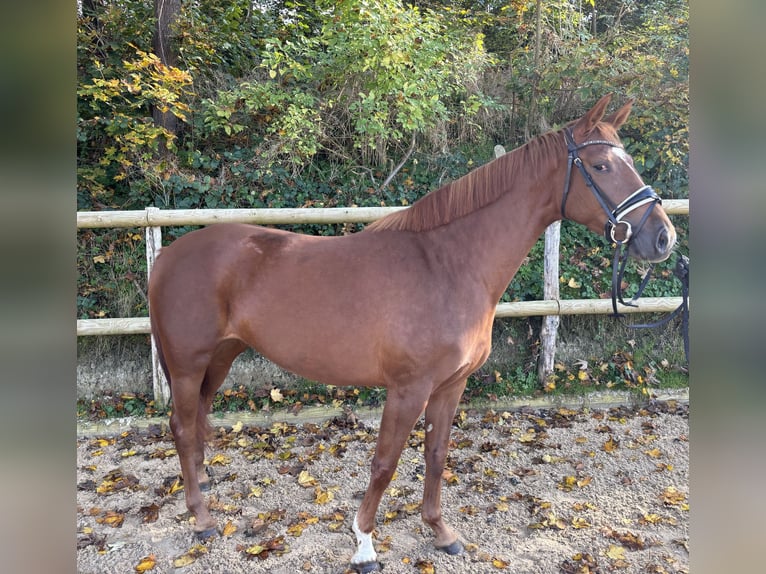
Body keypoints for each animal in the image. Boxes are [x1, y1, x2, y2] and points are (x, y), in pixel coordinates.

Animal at [147, 94, 676, 572]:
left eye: (629, 161)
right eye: (602, 166)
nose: (663, 238)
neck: (447, 264)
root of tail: (167, 257)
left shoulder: (450, 385)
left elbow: (437, 455)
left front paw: (441, 532)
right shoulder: (408, 388)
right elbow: (385, 463)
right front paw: (364, 545)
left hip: (222, 357)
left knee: (199, 422)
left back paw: (205, 489)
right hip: (190, 364)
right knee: (182, 427)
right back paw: (201, 520)